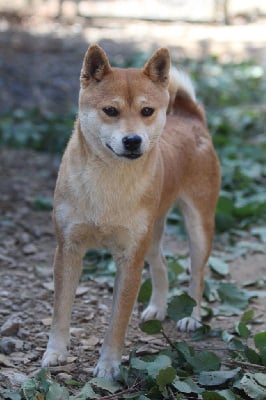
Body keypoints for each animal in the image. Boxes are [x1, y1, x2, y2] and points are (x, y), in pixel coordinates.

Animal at [41, 45, 220, 380]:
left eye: (147, 111)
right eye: (110, 111)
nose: (133, 140)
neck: (109, 180)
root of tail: (190, 117)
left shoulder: (130, 260)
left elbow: (117, 322)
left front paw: (109, 365)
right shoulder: (68, 250)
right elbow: (61, 310)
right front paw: (55, 352)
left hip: (198, 226)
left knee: (198, 274)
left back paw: (192, 317)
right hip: (151, 233)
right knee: (162, 264)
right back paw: (158, 307)